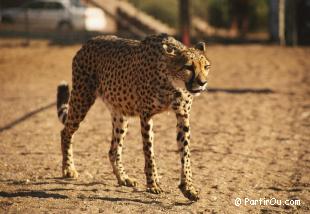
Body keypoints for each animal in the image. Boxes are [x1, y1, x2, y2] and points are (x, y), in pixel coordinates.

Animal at [56, 33, 211, 201]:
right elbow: (149, 152)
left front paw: (188, 188)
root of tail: (90, 41)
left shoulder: (183, 115)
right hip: (82, 98)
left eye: (206, 67)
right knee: (65, 132)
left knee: (113, 150)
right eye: (188, 67)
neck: (172, 82)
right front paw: (152, 184)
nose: (202, 83)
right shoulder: (146, 116)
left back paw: (123, 178)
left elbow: (185, 154)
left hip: (121, 115)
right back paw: (68, 169)